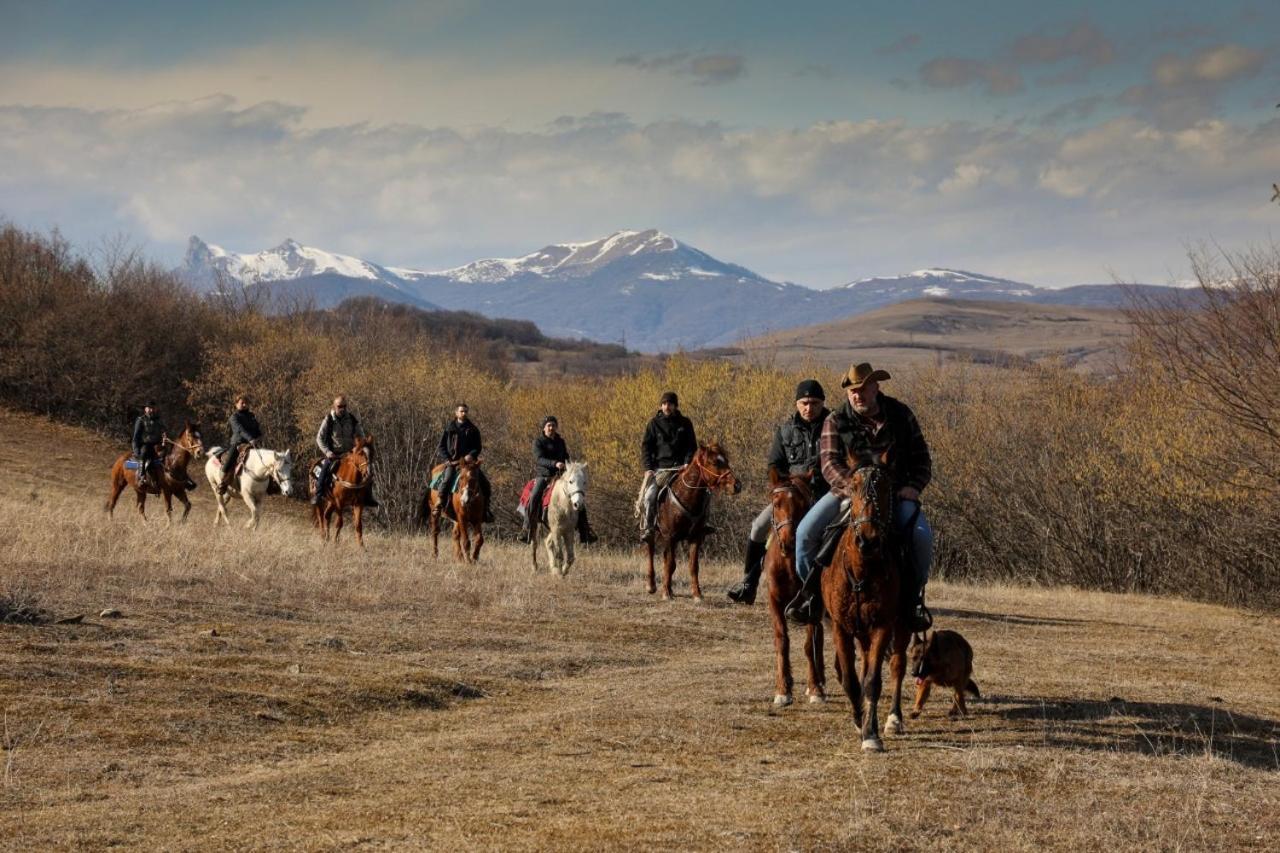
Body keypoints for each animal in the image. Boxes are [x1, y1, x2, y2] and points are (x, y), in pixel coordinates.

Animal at [645, 440, 747, 601]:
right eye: (714, 462)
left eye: (726, 460)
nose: (736, 485)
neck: (686, 496)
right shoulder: (670, 537)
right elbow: (670, 563)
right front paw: (666, 593)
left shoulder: (695, 537)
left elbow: (693, 566)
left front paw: (697, 594)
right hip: (654, 532)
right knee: (650, 549)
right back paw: (651, 585)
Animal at [762, 466, 824, 701]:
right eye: (776, 503)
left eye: (803, 505)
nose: (789, 541)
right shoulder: (775, 601)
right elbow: (782, 640)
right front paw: (782, 690)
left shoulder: (810, 603)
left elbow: (809, 643)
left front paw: (815, 689)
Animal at [819, 448, 911, 747]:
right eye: (853, 485)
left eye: (886, 487)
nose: (868, 540)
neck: (862, 570)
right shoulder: (840, 627)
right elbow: (850, 679)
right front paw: (859, 720)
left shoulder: (883, 625)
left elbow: (872, 680)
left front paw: (870, 734)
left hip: (902, 626)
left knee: (897, 666)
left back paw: (894, 719)